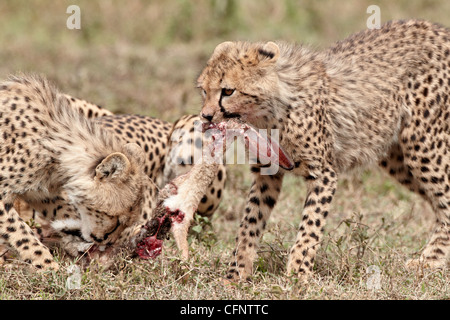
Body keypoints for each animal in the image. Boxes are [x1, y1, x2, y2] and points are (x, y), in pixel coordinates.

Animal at [198, 19, 450, 282]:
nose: (206, 116)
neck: (271, 112)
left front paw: (298, 274)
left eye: (228, 91)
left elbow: (310, 224)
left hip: (423, 145)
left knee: (445, 200)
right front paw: (235, 274)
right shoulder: (267, 172)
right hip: (397, 159)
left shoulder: (324, 173)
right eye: (204, 90)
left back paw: (430, 260)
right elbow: (250, 220)